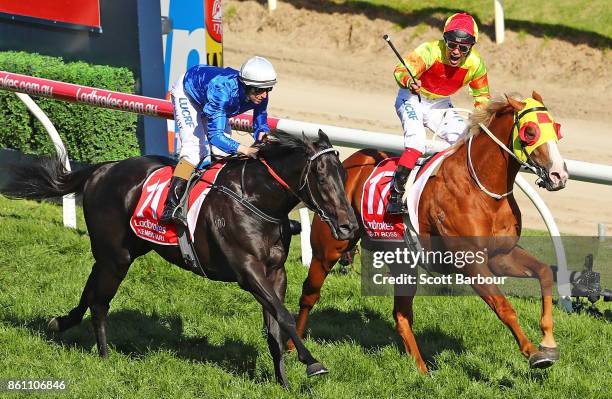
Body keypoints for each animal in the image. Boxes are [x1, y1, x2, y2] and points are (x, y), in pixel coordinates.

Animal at [1, 130, 358, 388]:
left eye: (344, 176)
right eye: (322, 177)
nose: (348, 226)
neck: (255, 200)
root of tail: (103, 168)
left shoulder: (275, 272)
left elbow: (275, 326)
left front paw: (282, 382)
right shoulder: (248, 272)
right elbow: (283, 317)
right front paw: (312, 363)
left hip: (123, 250)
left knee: (91, 288)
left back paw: (61, 322)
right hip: (116, 255)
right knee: (100, 301)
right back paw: (104, 356)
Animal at [292, 92, 568, 374]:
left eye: (557, 129)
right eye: (530, 131)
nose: (559, 174)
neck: (480, 186)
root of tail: (347, 165)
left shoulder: (501, 255)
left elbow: (544, 272)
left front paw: (548, 342)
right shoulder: (471, 262)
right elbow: (504, 306)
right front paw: (533, 353)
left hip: (402, 260)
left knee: (401, 315)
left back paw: (423, 371)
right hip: (328, 249)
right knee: (309, 295)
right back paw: (295, 348)